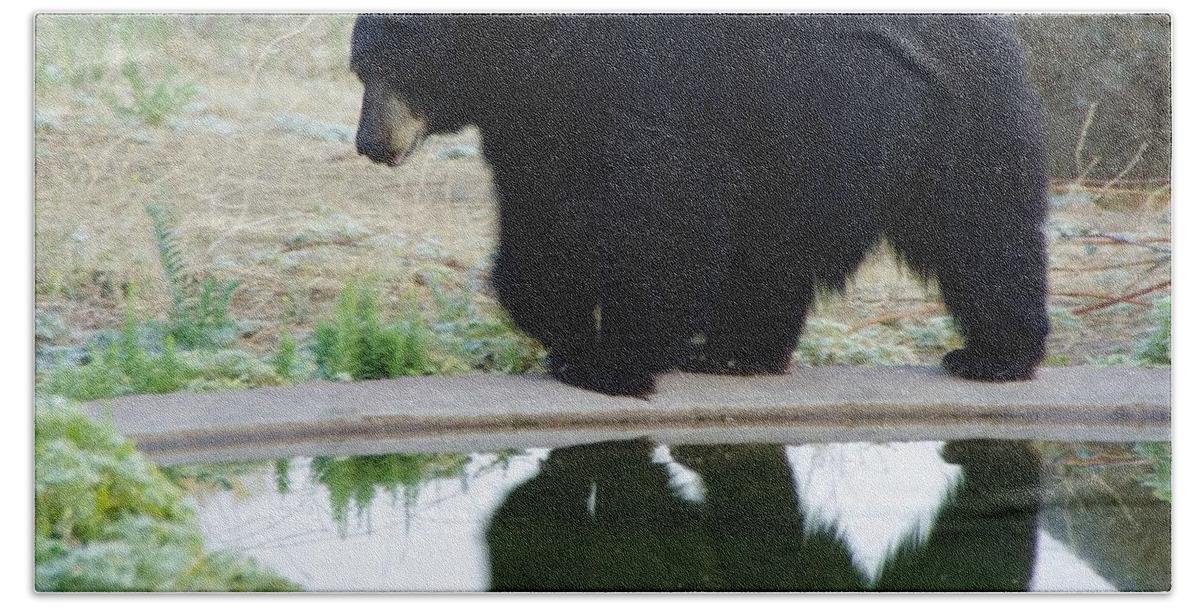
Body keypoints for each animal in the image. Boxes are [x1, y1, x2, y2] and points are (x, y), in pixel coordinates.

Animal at [350, 14, 1051, 398]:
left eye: (393, 67)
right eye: (361, 69)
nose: (369, 145)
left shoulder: (646, 85)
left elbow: (667, 214)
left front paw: (615, 363)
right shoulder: (536, 114)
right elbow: (543, 214)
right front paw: (569, 339)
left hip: (946, 117)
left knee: (982, 232)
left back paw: (993, 357)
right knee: (774, 250)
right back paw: (735, 353)